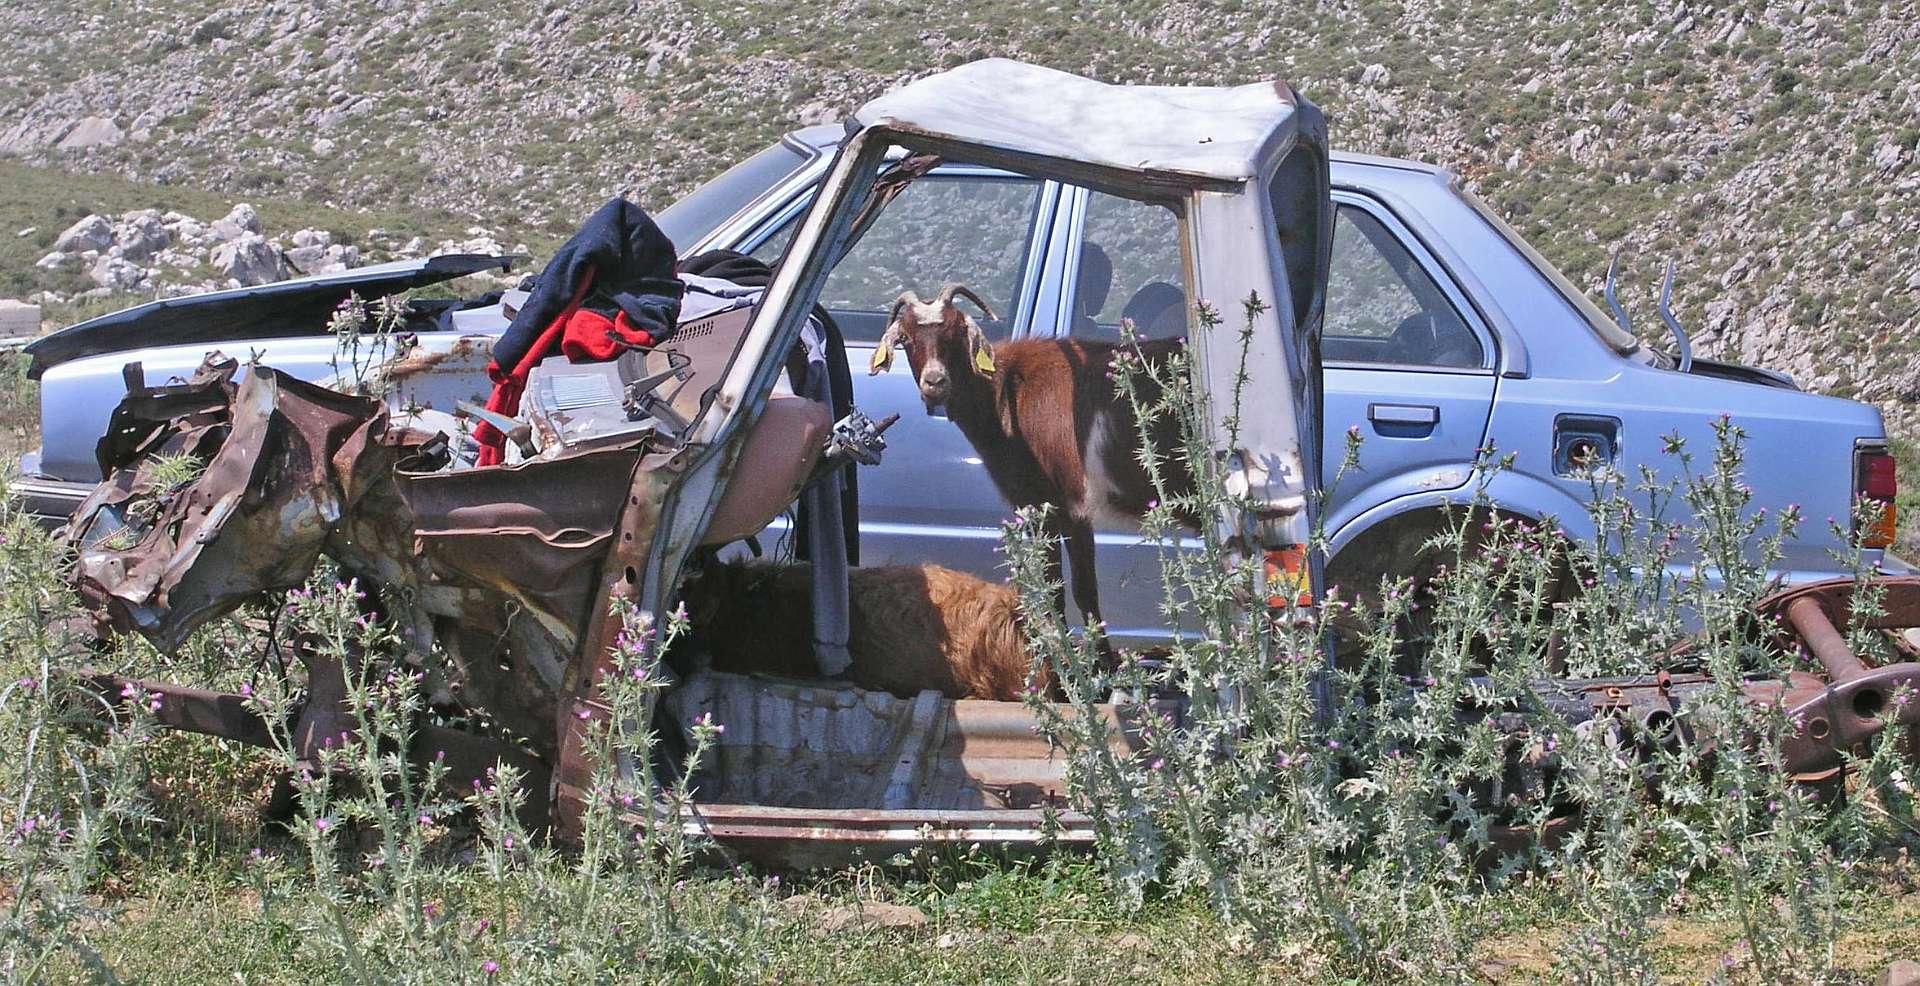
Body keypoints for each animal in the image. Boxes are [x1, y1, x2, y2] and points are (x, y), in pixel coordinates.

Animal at [869, 283, 1193, 636]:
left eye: (956, 333)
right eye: (906, 337)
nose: (935, 382)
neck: (1005, 393)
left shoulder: (1042, 506)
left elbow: (1058, 593)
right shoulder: (1075, 513)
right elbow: (1085, 594)